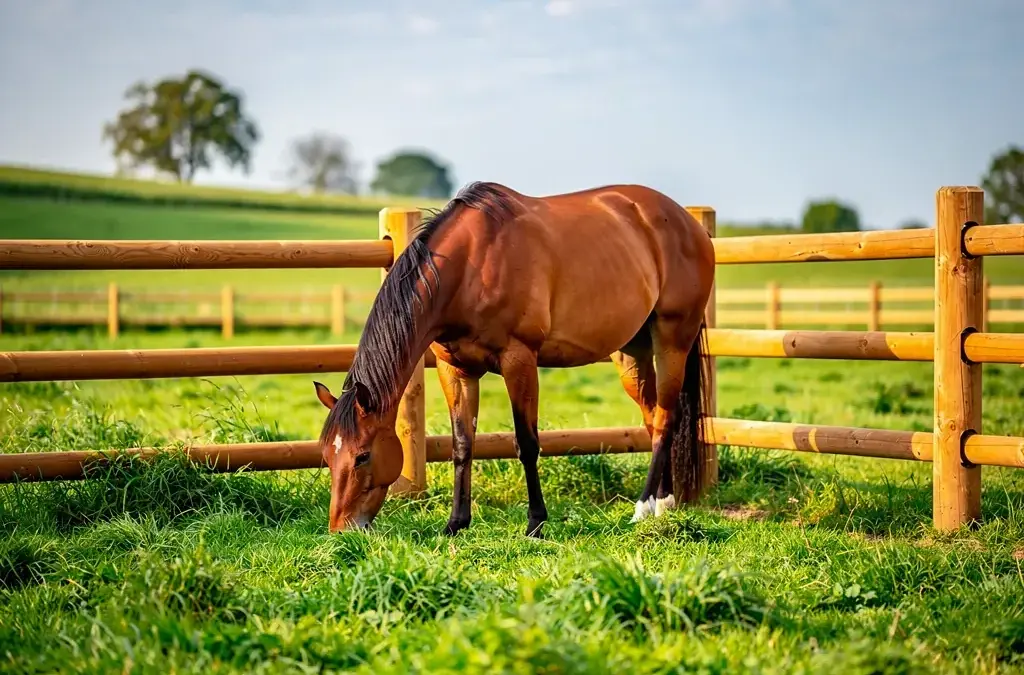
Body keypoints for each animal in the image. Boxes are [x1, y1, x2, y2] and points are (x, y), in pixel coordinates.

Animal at [312, 181, 716, 537]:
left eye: (362, 456)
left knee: (665, 419)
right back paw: (663, 504)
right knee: (652, 415)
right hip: (632, 351)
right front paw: (456, 524)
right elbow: (462, 444)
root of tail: (689, 223)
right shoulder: (455, 369)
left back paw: (644, 506)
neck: (469, 266)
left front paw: (535, 524)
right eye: (328, 456)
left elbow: (527, 442)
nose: (342, 529)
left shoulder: (519, 360)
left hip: (672, 339)